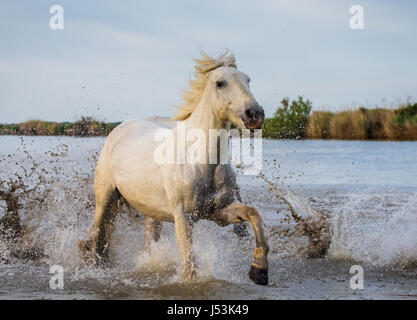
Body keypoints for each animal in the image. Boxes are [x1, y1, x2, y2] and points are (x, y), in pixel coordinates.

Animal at [80, 50, 270, 284]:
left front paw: (259, 270)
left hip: (151, 214)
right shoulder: (183, 218)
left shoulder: (219, 212)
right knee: (97, 237)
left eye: (248, 80)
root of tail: (120, 129)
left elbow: (253, 214)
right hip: (105, 199)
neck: (202, 160)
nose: (255, 114)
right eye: (220, 83)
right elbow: (190, 266)